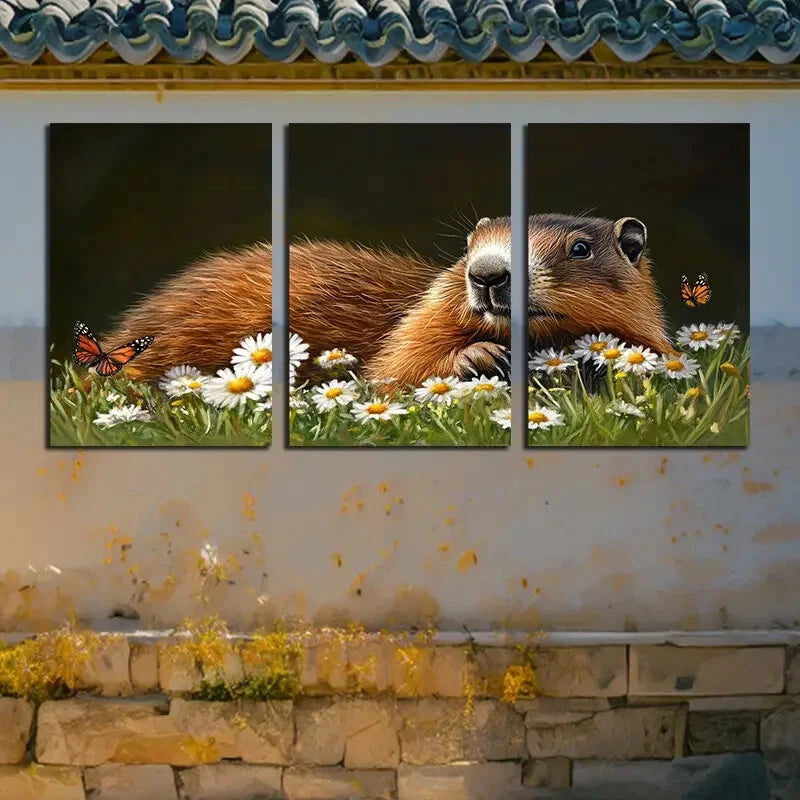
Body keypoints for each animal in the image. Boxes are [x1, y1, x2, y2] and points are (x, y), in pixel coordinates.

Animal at [103, 214, 670, 388]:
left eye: (580, 248)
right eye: (469, 243)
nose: (486, 273)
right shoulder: (424, 314)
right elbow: (396, 364)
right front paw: (478, 355)